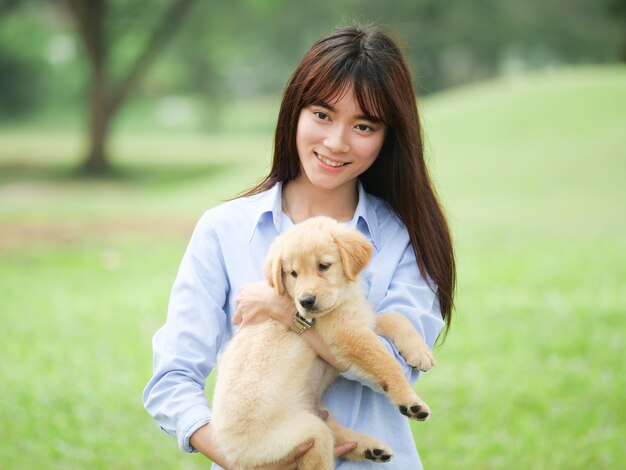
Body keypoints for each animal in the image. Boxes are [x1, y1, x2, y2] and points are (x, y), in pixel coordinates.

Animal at [211, 217, 434, 470]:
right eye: (293, 273)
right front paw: (410, 401)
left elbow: (395, 318)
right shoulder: (347, 333)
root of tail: (231, 453)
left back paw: (371, 449)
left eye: (323, 266)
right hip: (298, 435)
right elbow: (386, 362)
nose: (306, 301)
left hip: (313, 412)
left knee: (333, 431)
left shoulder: (360, 318)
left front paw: (419, 351)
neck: (343, 297)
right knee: (323, 443)